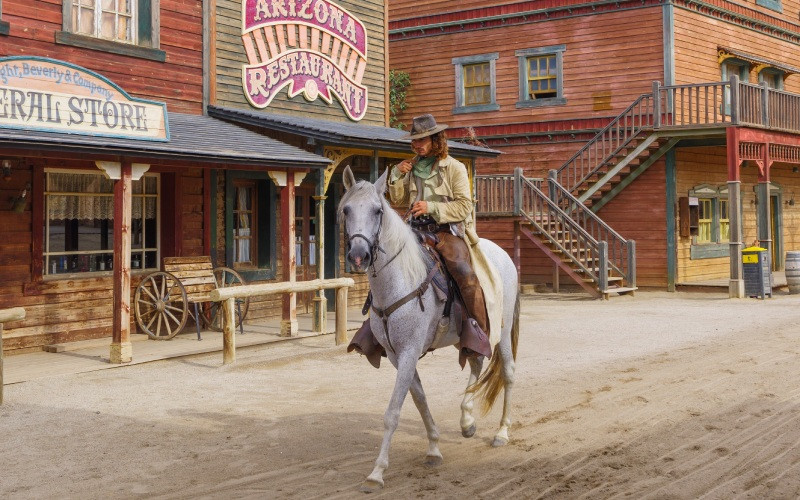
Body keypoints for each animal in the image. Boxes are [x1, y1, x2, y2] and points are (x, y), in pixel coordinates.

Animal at [340, 165, 520, 492]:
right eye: (347, 210)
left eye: (377, 210)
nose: (359, 255)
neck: (400, 282)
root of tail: (501, 253)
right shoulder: (397, 355)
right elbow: (420, 399)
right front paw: (434, 449)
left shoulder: (409, 351)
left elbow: (393, 412)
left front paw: (377, 472)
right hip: (469, 337)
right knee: (476, 362)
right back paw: (466, 421)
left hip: (502, 328)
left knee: (509, 373)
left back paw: (502, 432)